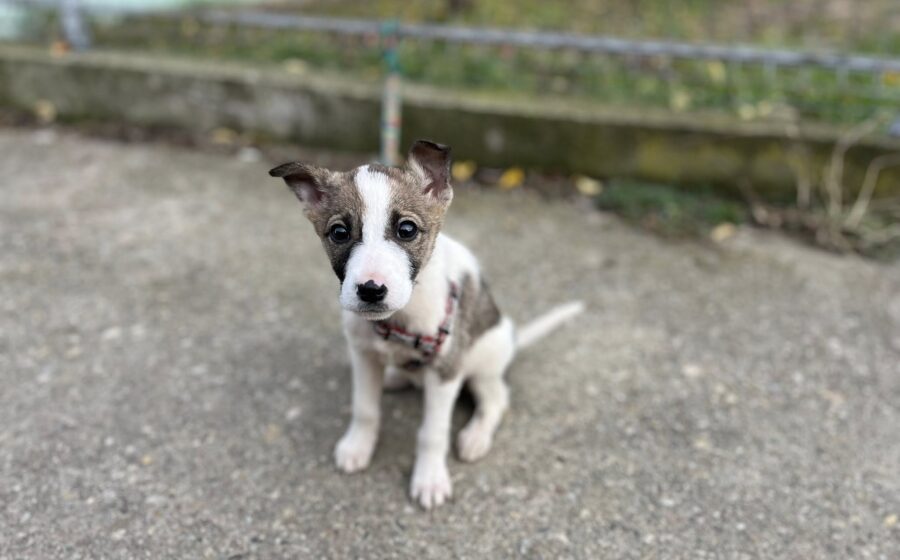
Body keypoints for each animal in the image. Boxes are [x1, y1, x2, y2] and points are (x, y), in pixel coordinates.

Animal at [270, 140, 583, 509]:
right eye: (339, 232)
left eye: (406, 229)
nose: (371, 290)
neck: (398, 321)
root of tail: (514, 337)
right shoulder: (363, 355)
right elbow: (365, 408)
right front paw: (358, 446)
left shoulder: (445, 370)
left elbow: (433, 433)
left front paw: (430, 479)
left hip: (483, 363)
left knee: (497, 399)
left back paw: (475, 436)